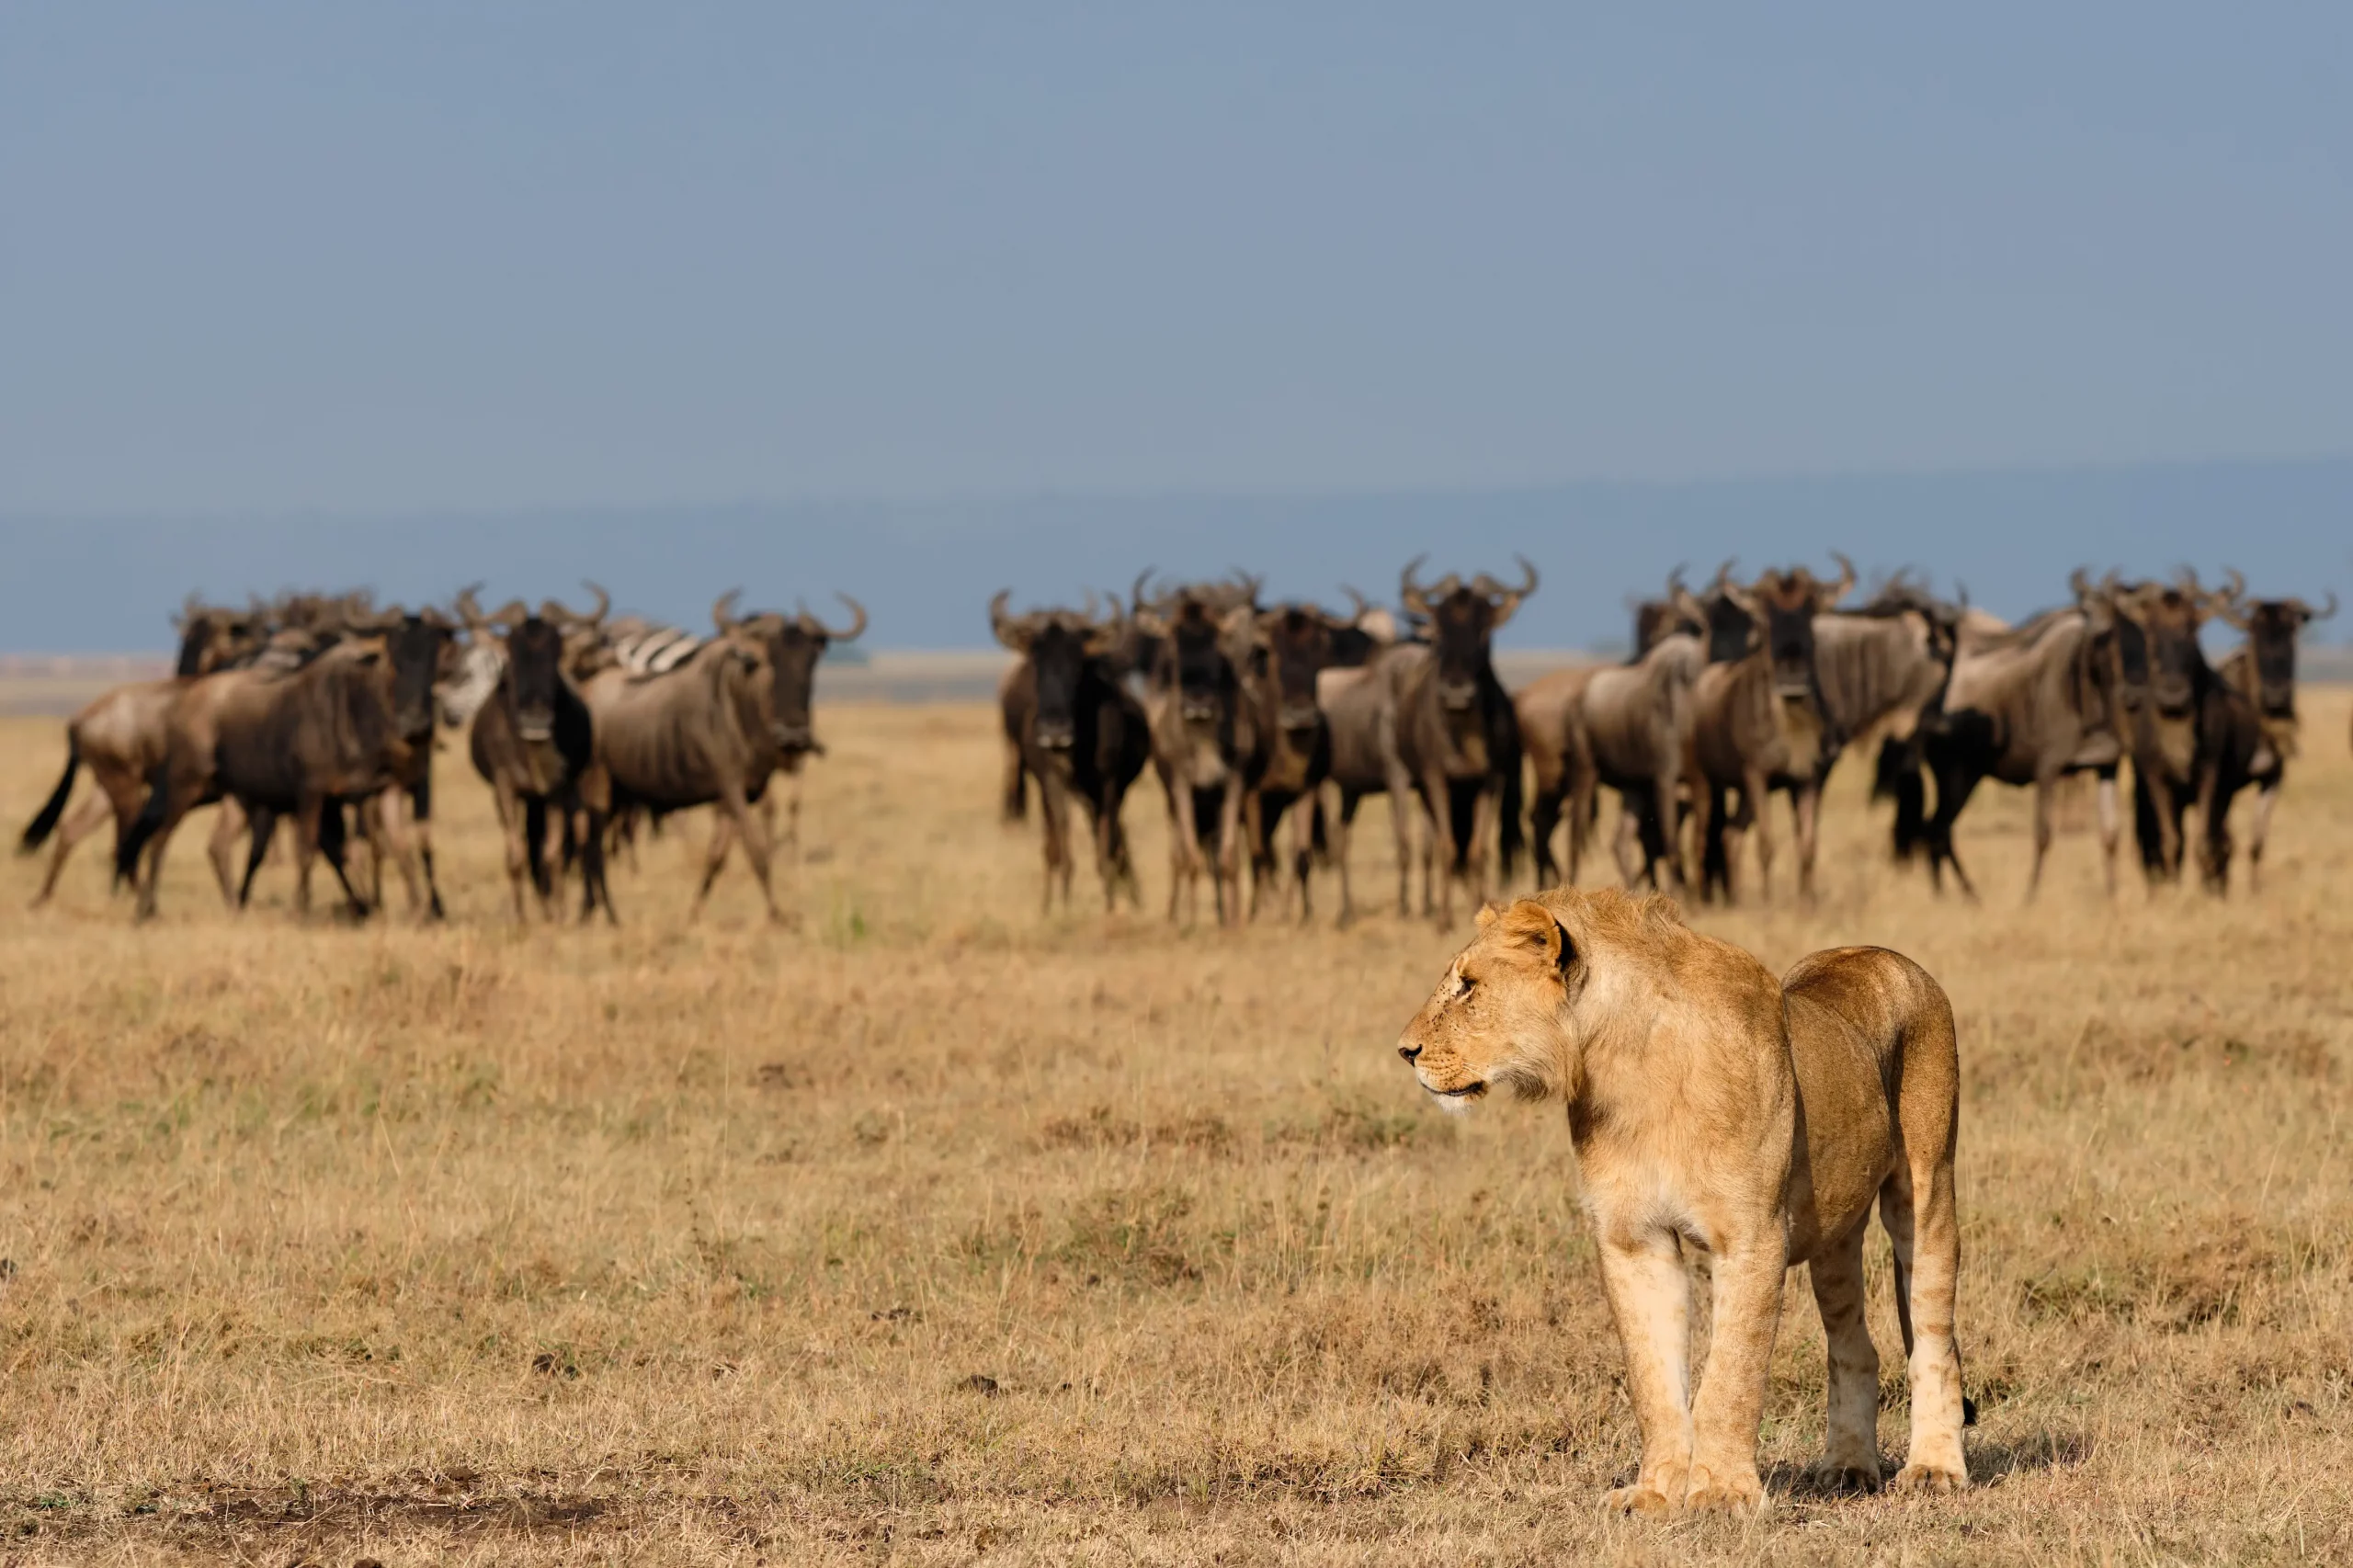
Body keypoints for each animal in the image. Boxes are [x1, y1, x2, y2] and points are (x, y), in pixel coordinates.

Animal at [1395, 887, 1970, 1515]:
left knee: (1933, 1341)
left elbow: (1730, 1375)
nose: (1405, 1051)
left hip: (1926, 1191)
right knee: (1855, 1346)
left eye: (1469, 986)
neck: (1626, 1070)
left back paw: (1934, 1470)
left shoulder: (1752, 1236)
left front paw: (1720, 1492)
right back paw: (1847, 1468)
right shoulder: (1633, 1239)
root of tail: (1885, 955)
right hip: (1835, 1237)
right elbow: (1653, 1380)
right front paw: (1655, 1491)